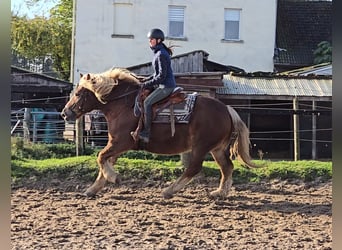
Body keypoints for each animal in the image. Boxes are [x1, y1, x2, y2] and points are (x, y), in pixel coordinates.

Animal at [61, 68, 258, 199]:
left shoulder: (121, 142)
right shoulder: (116, 144)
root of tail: (227, 109)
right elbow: (105, 161)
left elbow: (101, 157)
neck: (123, 105)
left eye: (78, 94)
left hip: (201, 147)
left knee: (194, 168)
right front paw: (93, 189)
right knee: (227, 167)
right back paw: (220, 192)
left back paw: (169, 191)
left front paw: (114, 178)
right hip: (217, 148)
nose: (64, 113)